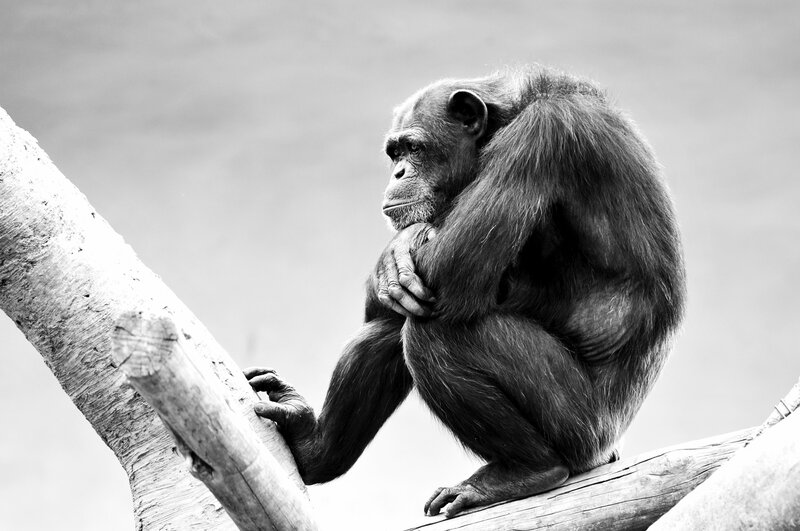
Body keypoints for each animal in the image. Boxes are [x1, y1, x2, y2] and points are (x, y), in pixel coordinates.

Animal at [246, 66, 685, 518]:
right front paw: (395, 257)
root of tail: (607, 450)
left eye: (414, 148)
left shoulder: (543, 137)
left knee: (434, 333)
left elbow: (451, 274)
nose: (398, 174)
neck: (508, 117)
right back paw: (313, 448)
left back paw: (527, 470)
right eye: (394, 153)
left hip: (579, 427)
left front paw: (401, 249)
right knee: (390, 326)